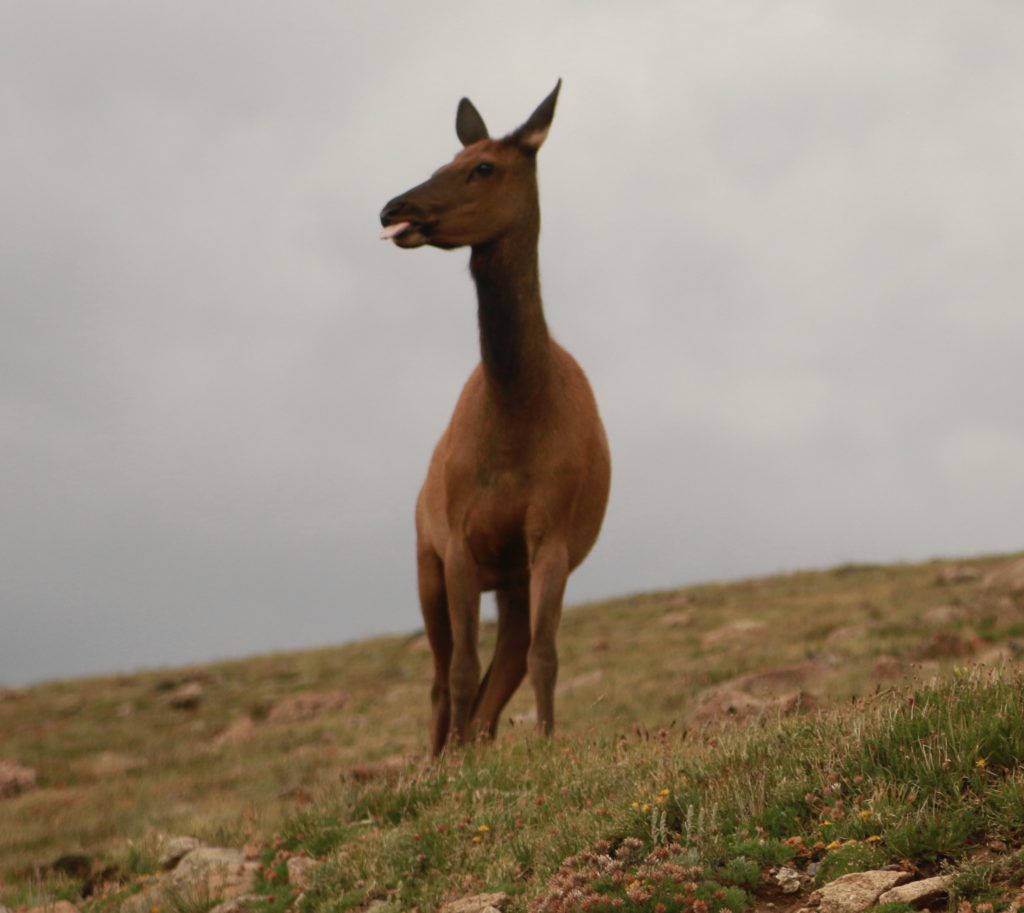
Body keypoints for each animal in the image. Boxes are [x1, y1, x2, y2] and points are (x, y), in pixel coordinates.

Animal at [379, 80, 611, 756]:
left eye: (483, 166)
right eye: (445, 159)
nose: (393, 207)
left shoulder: (550, 536)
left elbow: (544, 658)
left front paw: (548, 744)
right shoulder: (456, 540)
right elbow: (460, 669)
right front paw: (450, 764)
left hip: (510, 579)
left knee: (504, 667)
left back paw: (471, 743)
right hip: (423, 557)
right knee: (441, 677)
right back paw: (440, 754)